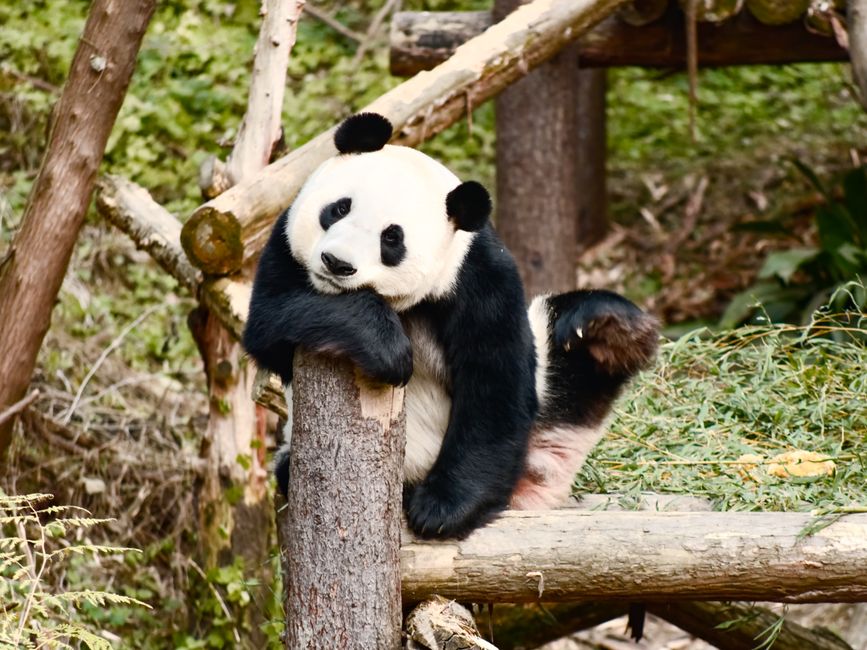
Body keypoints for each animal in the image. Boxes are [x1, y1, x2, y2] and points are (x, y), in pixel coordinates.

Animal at [242, 112, 659, 540]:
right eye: (339, 208)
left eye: (392, 239)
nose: (336, 263)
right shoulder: (284, 242)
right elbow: (271, 320)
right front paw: (387, 349)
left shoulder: (478, 276)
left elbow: (493, 381)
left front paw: (441, 510)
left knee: (566, 362)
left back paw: (608, 332)